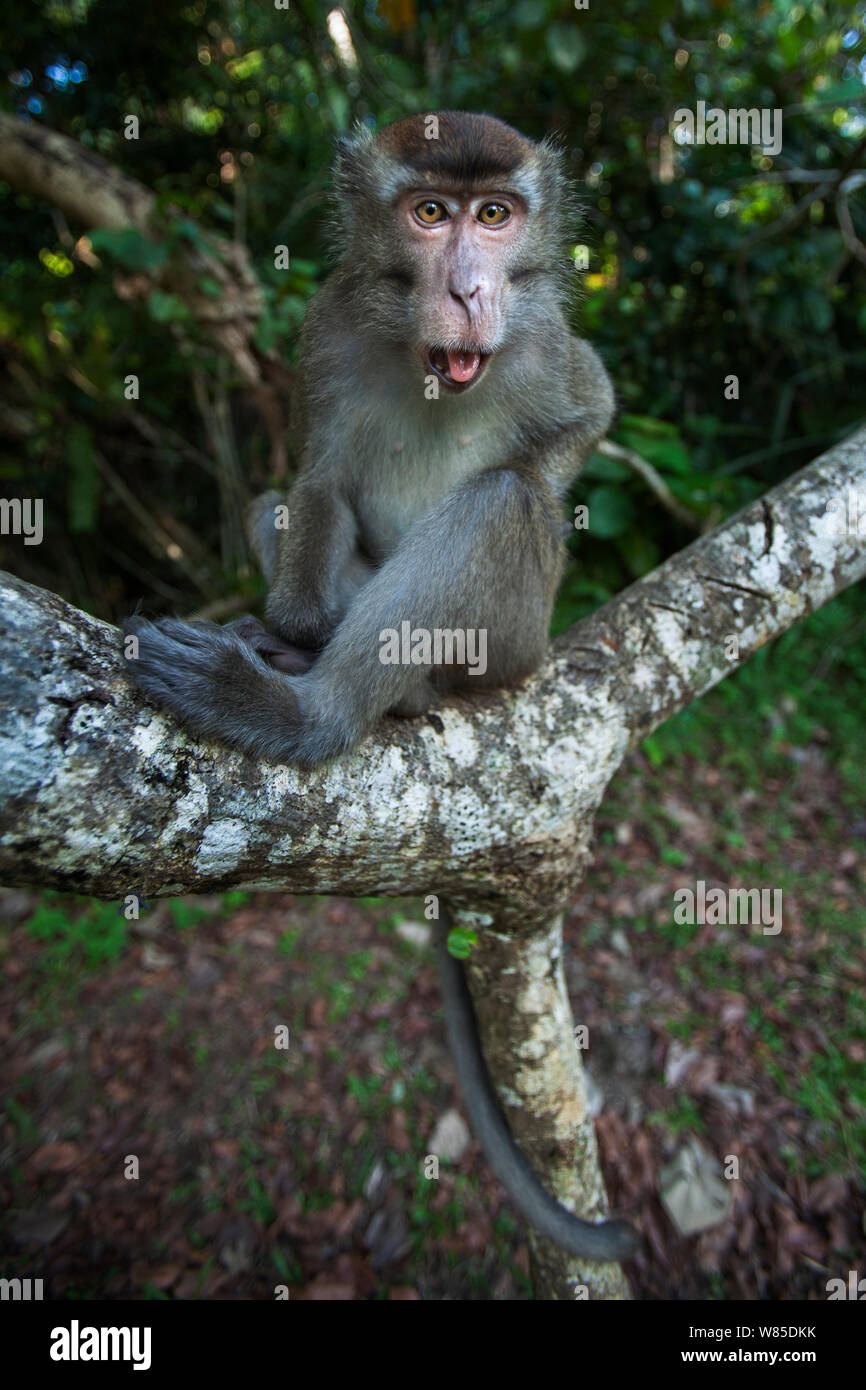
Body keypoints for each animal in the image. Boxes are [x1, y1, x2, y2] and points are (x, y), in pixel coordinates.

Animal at [125, 108, 639, 1262]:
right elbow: (313, 474)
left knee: (500, 502)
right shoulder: (325, 330)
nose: (469, 291)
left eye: (496, 216)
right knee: (277, 503)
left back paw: (306, 713)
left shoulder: (543, 340)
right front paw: (291, 627)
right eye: (430, 213)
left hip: (508, 640)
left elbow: (577, 425)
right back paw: (312, 664)